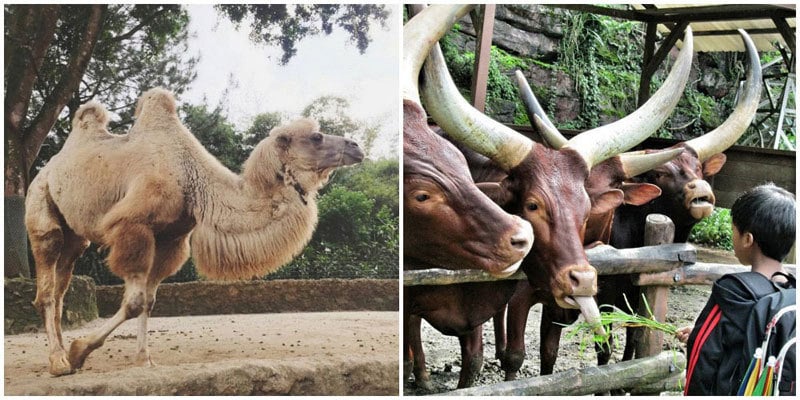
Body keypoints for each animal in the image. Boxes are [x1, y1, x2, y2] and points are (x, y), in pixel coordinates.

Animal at [25, 87, 364, 376]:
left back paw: (59, 354)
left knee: (62, 285)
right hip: (41, 206)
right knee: (47, 282)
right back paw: (59, 361)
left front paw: (143, 359)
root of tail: (47, 167)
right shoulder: (133, 225)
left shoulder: (170, 238)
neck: (192, 179)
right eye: (316, 136)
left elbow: (148, 301)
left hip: (76, 235)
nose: (357, 146)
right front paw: (80, 350)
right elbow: (134, 302)